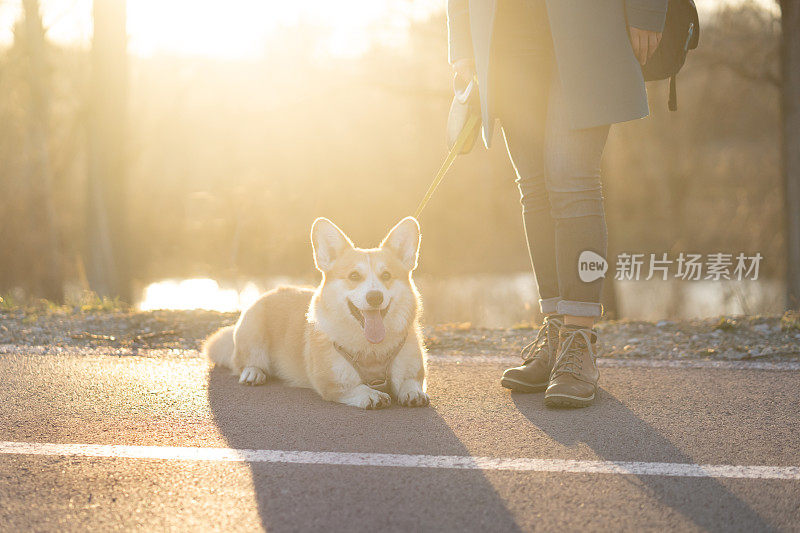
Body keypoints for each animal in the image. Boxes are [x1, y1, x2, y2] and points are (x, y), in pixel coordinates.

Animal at [206, 216, 428, 408]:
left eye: (387, 275)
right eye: (354, 276)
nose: (375, 297)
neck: (371, 349)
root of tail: (270, 292)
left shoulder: (412, 371)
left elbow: (410, 381)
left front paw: (414, 392)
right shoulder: (332, 383)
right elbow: (356, 388)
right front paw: (372, 395)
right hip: (253, 336)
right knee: (243, 362)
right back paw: (253, 373)